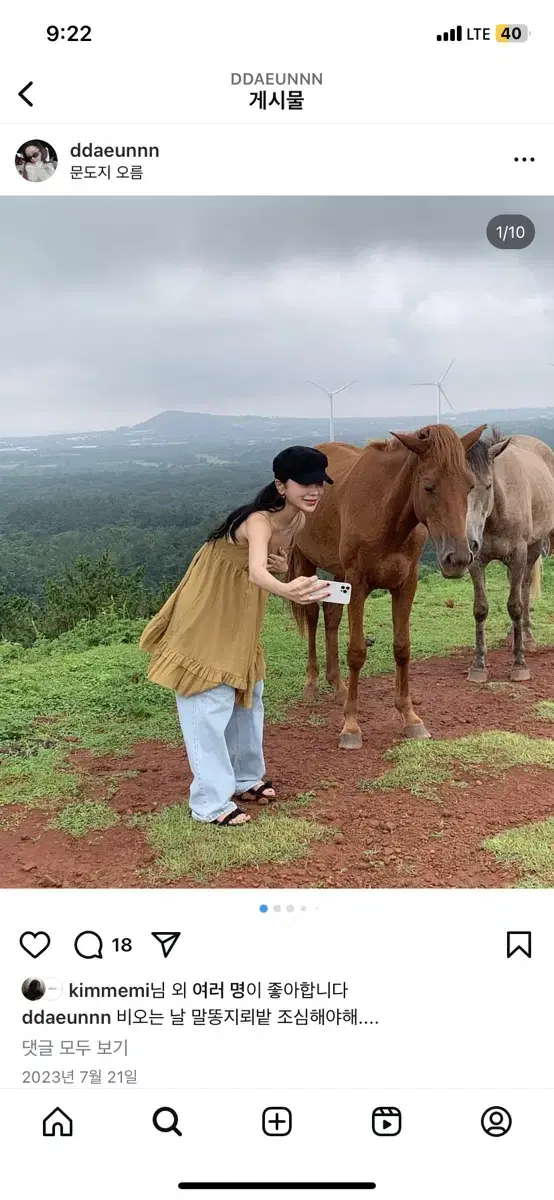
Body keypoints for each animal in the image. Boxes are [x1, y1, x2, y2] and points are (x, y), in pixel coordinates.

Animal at [287, 420, 482, 739]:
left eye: (470, 486)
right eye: (428, 486)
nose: (459, 559)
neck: (385, 513)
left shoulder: (405, 584)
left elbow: (402, 648)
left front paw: (410, 717)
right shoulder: (358, 583)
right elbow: (357, 651)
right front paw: (351, 725)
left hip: (339, 574)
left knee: (331, 616)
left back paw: (337, 685)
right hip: (307, 562)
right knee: (313, 614)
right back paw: (312, 684)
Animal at [465, 432, 554, 681]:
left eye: (488, 486)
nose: (469, 541)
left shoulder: (518, 556)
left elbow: (515, 605)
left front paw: (519, 664)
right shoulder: (477, 562)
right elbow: (480, 608)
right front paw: (478, 665)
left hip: (533, 548)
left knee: (524, 587)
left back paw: (527, 637)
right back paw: (511, 636)